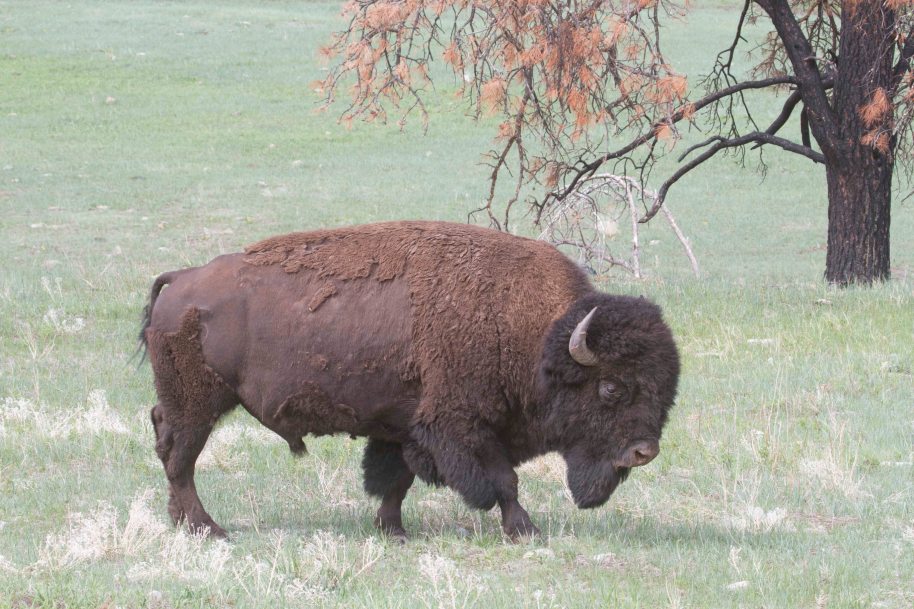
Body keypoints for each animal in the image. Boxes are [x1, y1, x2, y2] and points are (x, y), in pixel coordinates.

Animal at [139, 221, 680, 539]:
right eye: (611, 387)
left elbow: (394, 480)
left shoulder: (402, 428)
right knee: (181, 458)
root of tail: (182, 279)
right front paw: (524, 529)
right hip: (199, 406)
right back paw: (207, 528)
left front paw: (392, 530)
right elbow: (502, 480)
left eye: (666, 391)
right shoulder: (461, 426)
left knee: (168, 445)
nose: (644, 451)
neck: (534, 333)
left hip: (189, 404)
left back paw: (184, 522)